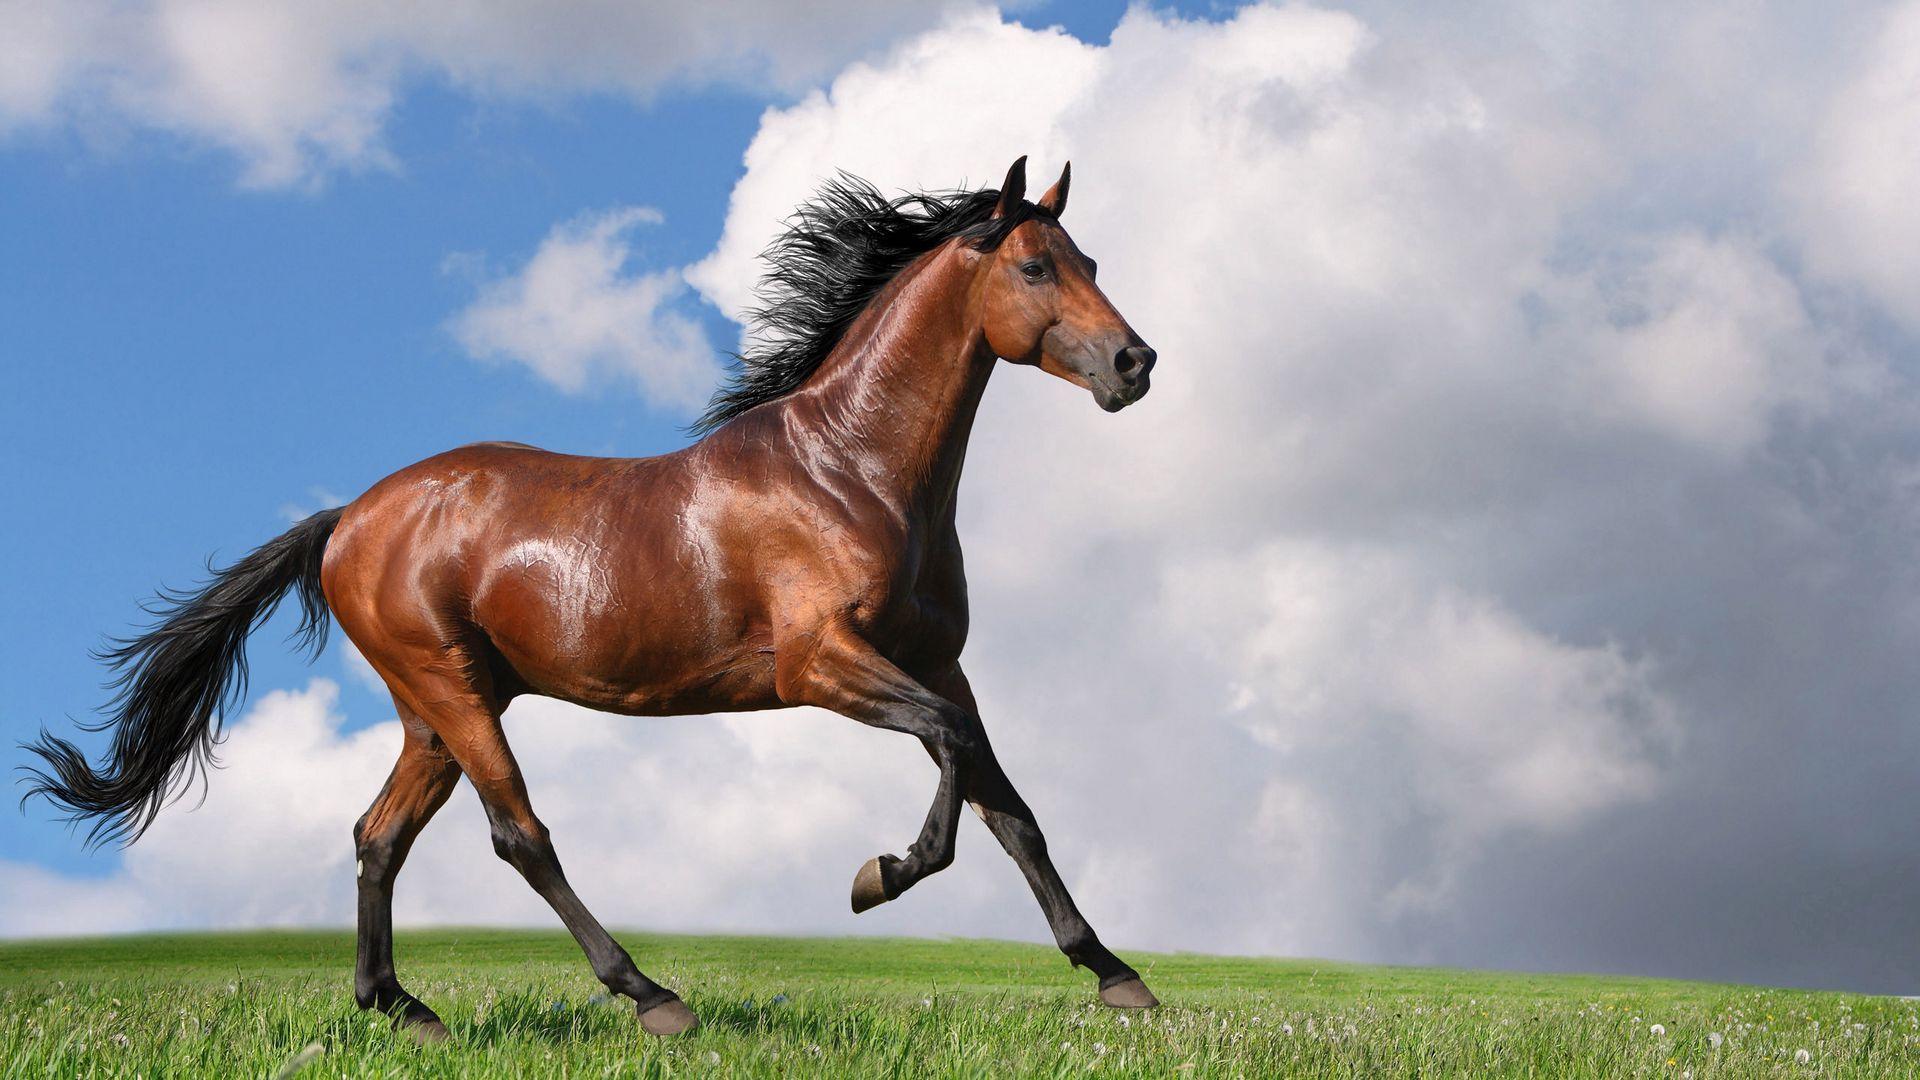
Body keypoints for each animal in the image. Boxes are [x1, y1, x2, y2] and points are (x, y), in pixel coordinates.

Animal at [23, 156, 1160, 1039]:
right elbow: (955, 763)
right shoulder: (821, 664)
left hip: (434, 709)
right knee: (518, 833)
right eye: (1035, 264)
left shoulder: (938, 661)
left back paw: (405, 1009)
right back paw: (651, 996)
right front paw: (877, 875)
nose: (1134, 362)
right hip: (451, 691)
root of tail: (348, 518)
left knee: (378, 835)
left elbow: (1009, 806)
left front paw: (1116, 976)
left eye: (1092, 263)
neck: (853, 471)